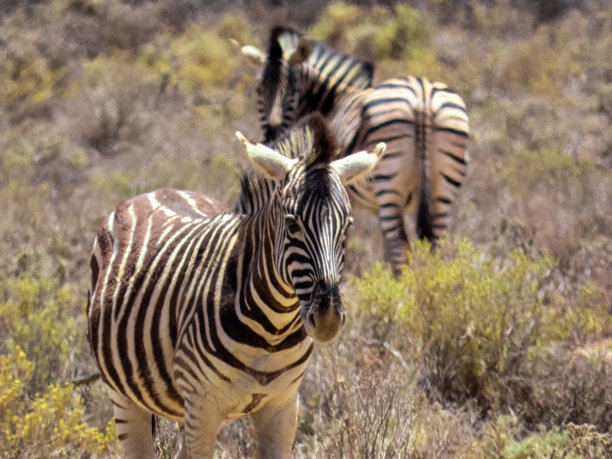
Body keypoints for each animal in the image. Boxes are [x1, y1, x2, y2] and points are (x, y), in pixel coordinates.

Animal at [86, 112, 382, 459]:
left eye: (347, 225)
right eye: (292, 223)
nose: (328, 319)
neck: (273, 331)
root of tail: (153, 192)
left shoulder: (282, 406)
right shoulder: (203, 404)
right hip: (124, 395)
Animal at [237, 27, 470, 276]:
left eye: (292, 90)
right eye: (259, 90)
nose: (272, 136)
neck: (330, 102)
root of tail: (422, 96)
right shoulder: (374, 207)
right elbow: (385, 252)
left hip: (389, 186)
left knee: (401, 246)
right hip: (442, 189)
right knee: (434, 245)